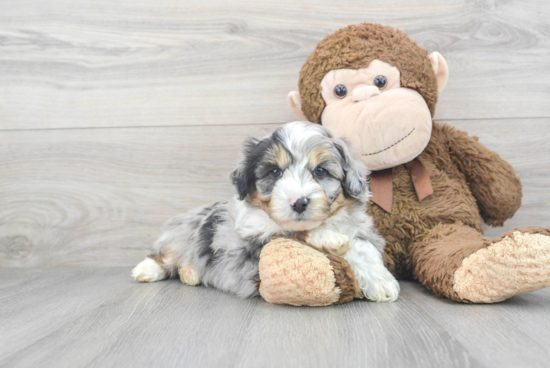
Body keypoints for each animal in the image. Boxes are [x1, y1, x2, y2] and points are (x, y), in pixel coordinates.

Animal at [134, 121, 402, 302]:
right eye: (275, 172)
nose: (299, 202)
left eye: (320, 171)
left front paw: (381, 281)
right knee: (164, 256)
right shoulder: (251, 241)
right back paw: (147, 270)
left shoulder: (361, 230)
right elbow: (290, 232)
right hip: (179, 236)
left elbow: (362, 247)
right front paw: (329, 238)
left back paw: (190, 273)